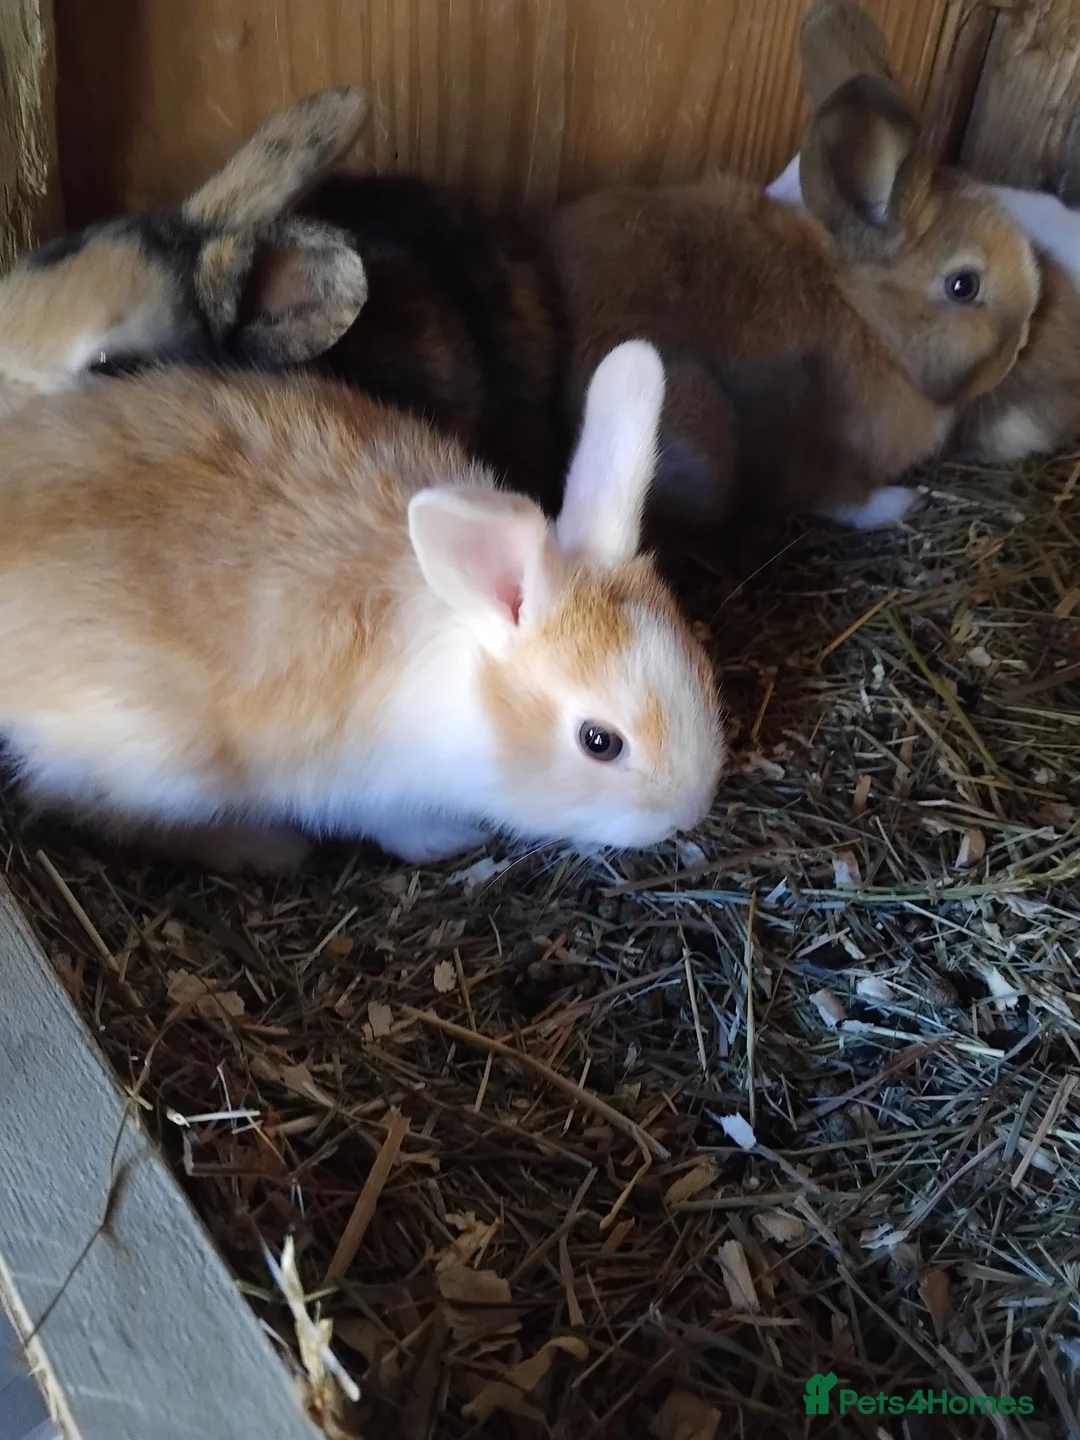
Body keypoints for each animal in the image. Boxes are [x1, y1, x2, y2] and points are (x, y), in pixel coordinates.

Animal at [0, 341, 725, 873]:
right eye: (600, 742)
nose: (687, 813)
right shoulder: (360, 787)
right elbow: (392, 824)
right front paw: (445, 841)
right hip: (159, 764)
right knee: (98, 812)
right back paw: (264, 848)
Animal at [547, 0, 1041, 548]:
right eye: (963, 286)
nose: (1020, 343)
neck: (868, 319)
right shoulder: (825, 456)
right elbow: (840, 499)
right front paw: (899, 502)